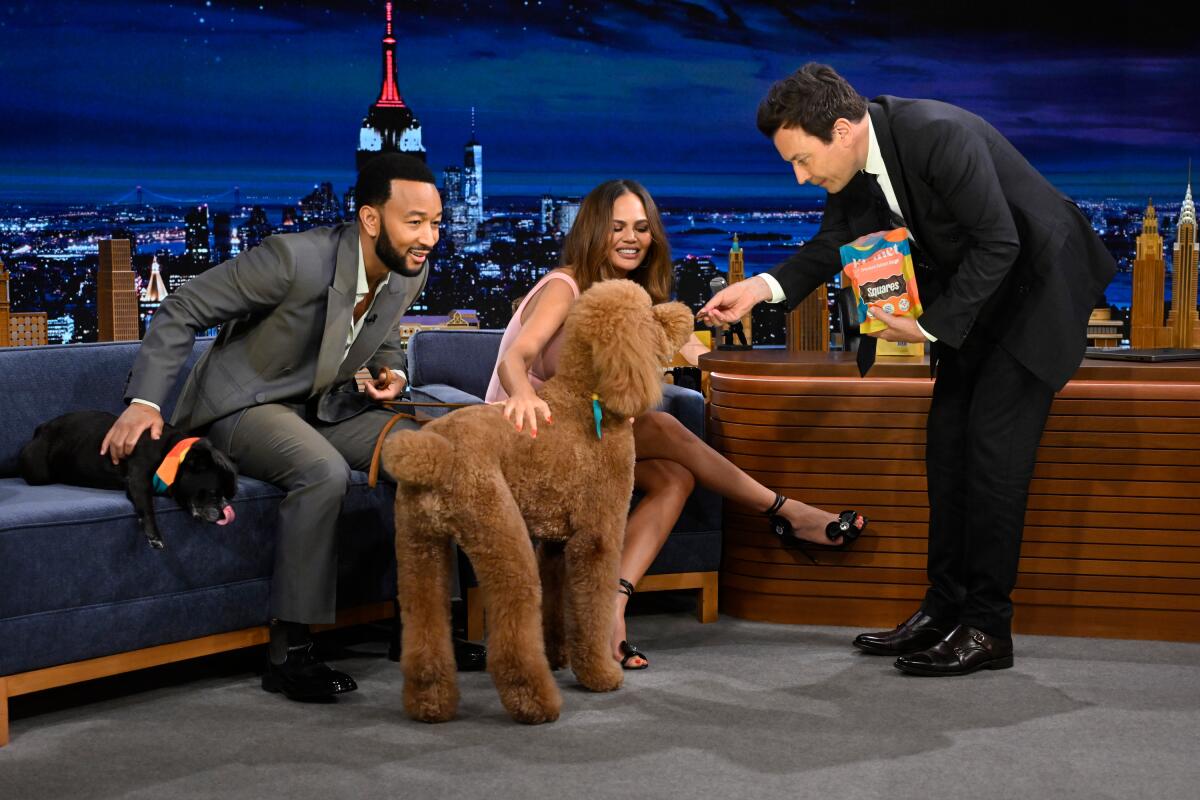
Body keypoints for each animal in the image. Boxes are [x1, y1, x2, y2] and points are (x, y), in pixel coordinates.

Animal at [21, 412, 235, 551]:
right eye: (213, 493)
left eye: (229, 496)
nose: (224, 510)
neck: (172, 453)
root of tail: (42, 427)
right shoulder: (139, 481)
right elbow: (147, 507)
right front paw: (154, 535)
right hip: (39, 469)